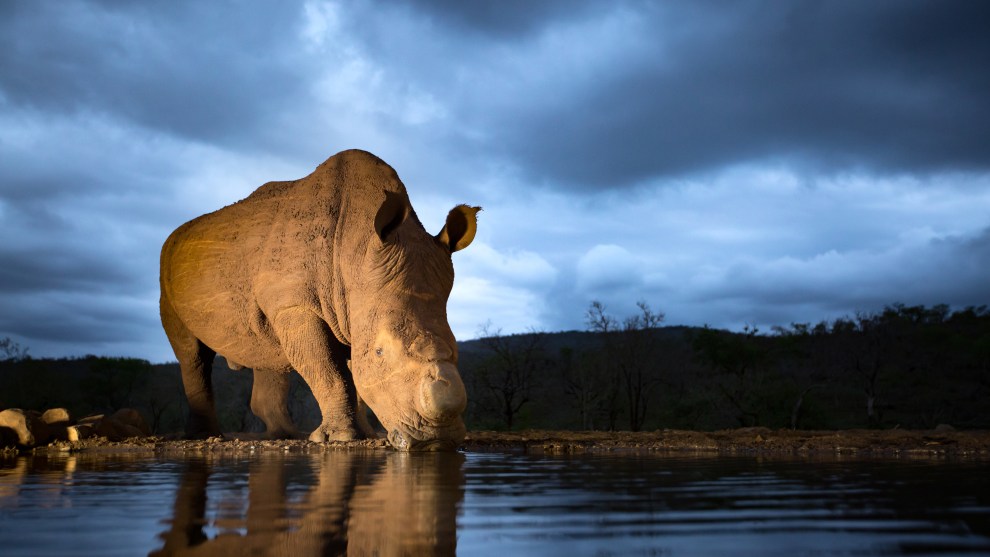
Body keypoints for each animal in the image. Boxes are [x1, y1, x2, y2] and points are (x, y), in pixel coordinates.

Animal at [159, 149, 479, 450]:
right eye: (380, 353)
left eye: (455, 348)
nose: (437, 439)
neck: (356, 251)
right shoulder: (296, 305)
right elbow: (328, 371)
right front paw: (340, 437)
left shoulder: (353, 308)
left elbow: (353, 375)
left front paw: (365, 434)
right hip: (169, 271)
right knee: (192, 353)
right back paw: (206, 435)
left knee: (264, 347)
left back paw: (283, 435)